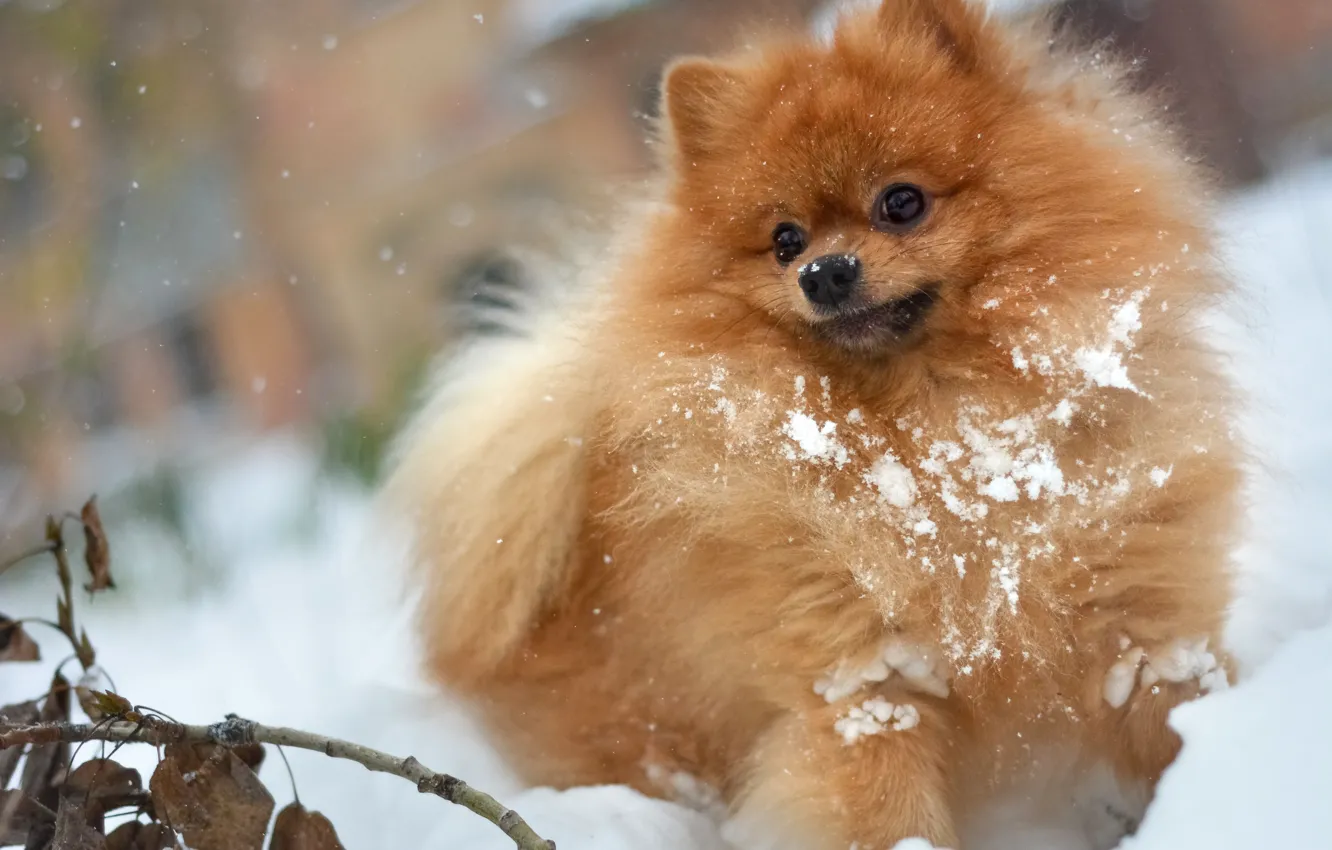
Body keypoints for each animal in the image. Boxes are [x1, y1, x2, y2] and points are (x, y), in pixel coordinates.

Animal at [383, 3, 1236, 847]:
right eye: (784, 240)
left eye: (902, 202)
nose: (823, 272)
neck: (938, 440)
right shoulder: (859, 680)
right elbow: (884, 812)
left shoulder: (1142, 621)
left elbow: (1172, 722)